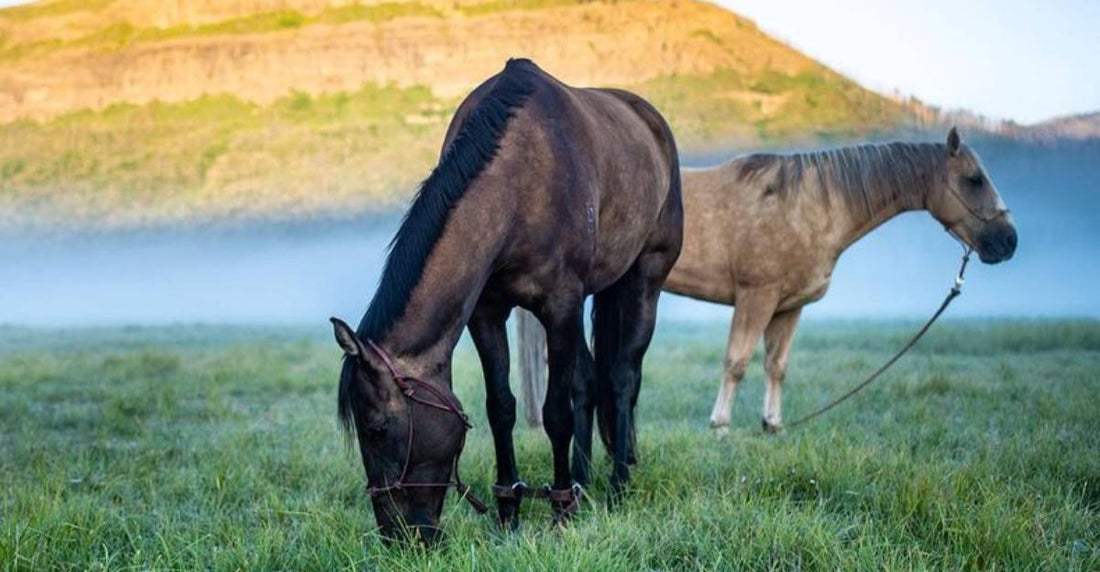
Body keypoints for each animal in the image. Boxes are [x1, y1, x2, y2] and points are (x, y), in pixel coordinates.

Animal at [330, 58, 682, 541]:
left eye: (378, 430)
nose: (398, 536)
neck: (519, 182)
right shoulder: (487, 313)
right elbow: (502, 407)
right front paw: (509, 510)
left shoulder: (560, 306)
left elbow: (555, 413)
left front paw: (559, 511)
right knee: (588, 381)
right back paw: (583, 480)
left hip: (644, 278)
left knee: (622, 377)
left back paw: (617, 483)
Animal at [660, 128, 1012, 433]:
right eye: (974, 179)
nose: (1009, 241)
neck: (803, 206)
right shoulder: (756, 296)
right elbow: (736, 362)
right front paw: (720, 427)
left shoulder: (788, 306)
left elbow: (776, 365)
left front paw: (772, 425)